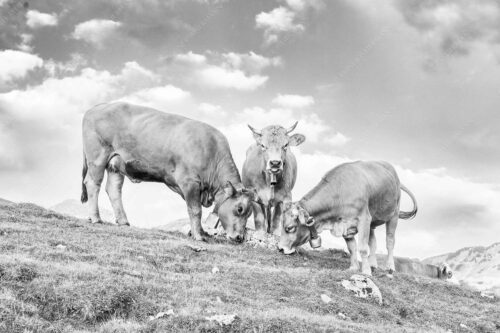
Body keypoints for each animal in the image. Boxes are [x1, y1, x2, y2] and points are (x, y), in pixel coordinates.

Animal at [278, 161, 418, 274]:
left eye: (290, 228)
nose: (280, 248)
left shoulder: (363, 219)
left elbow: (362, 248)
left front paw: (365, 271)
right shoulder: (345, 224)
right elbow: (352, 248)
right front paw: (354, 268)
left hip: (393, 215)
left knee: (390, 242)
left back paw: (389, 267)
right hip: (372, 221)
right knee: (373, 243)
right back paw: (373, 264)